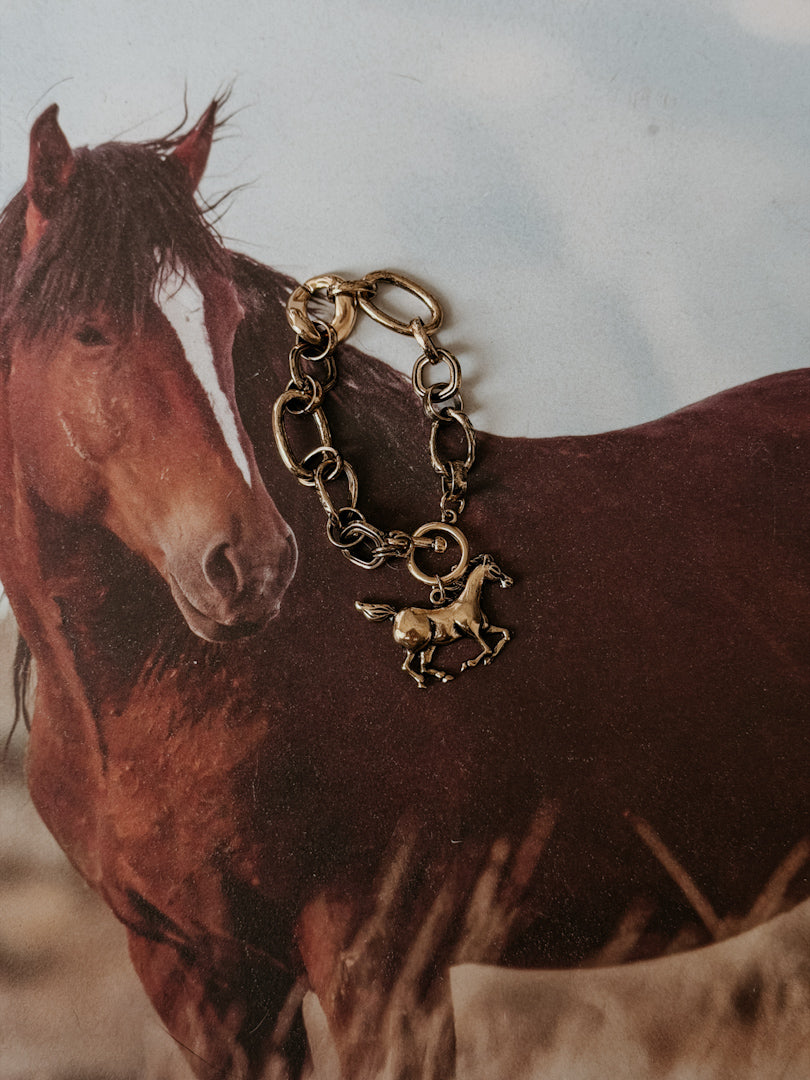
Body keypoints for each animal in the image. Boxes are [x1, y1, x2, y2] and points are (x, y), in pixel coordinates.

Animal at [356, 554, 513, 686]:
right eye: (494, 569)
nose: (509, 581)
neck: (468, 602)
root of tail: (395, 615)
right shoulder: (473, 631)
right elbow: (486, 648)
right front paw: (468, 663)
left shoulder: (485, 628)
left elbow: (505, 634)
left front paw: (490, 658)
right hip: (417, 645)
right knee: (406, 666)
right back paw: (422, 681)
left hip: (429, 646)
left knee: (424, 667)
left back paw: (444, 675)